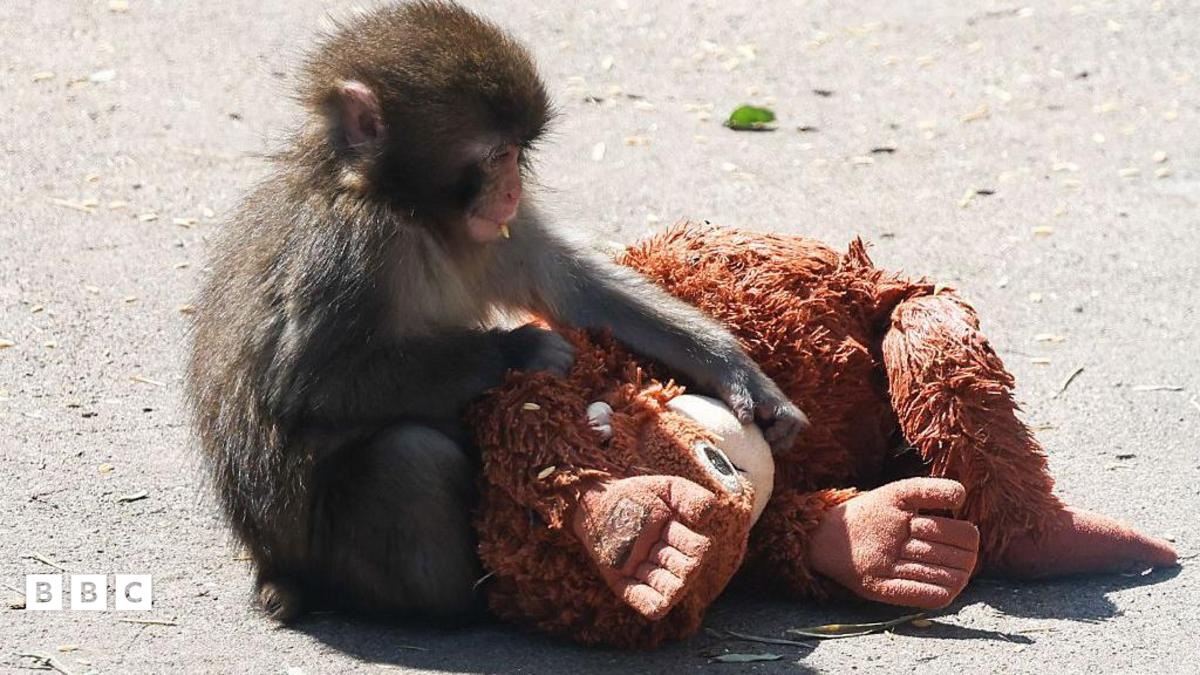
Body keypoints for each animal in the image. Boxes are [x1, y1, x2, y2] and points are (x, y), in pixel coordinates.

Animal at [186, 0, 808, 624]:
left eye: (517, 154)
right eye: (496, 155)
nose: (511, 189)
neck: (410, 212)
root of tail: (269, 559)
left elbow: (577, 291)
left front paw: (740, 375)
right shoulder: (349, 249)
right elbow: (305, 385)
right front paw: (524, 348)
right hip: (321, 550)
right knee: (408, 457)